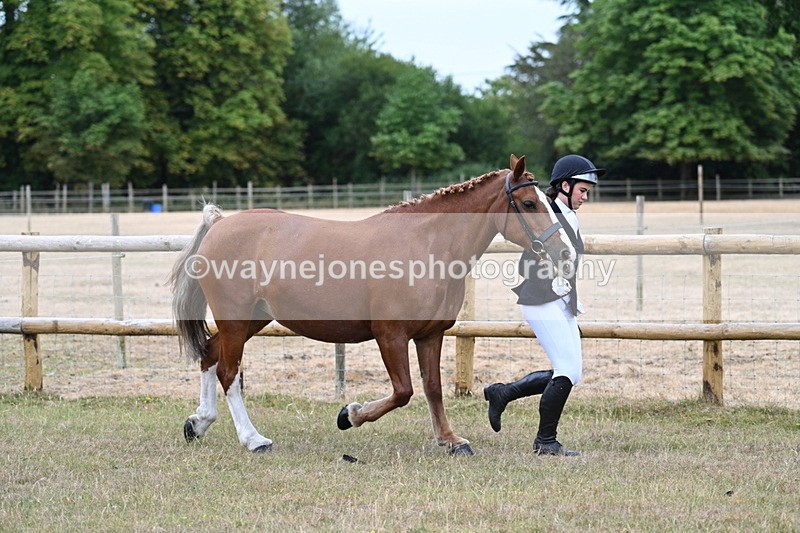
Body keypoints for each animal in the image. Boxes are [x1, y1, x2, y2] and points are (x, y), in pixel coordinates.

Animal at [170, 154, 575, 455]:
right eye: (528, 203)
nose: (565, 253)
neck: (427, 245)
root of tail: (220, 223)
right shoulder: (390, 335)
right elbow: (403, 392)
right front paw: (350, 415)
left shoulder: (430, 335)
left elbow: (432, 388)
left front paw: (450, 440)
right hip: (237, 319)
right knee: (227, 373)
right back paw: (253, 439)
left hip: (253, 319)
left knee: (209, 355)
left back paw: (198, 423)